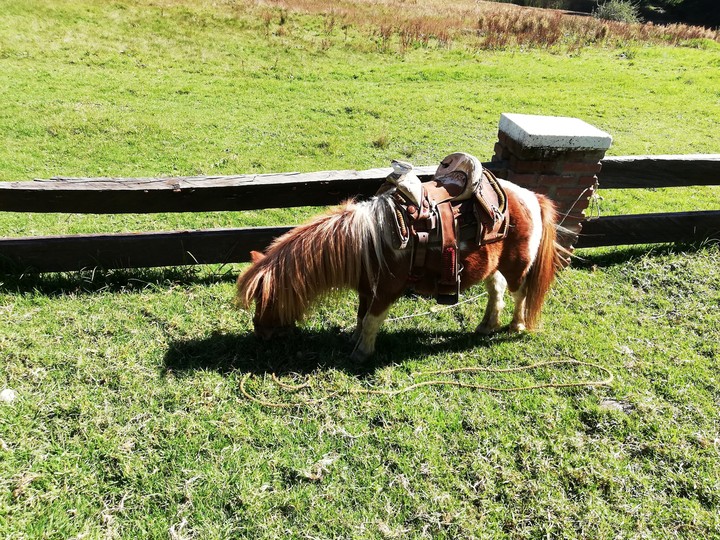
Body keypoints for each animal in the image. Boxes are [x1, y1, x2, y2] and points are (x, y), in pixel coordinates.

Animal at [235, 152, 563, 361]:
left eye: (266, 299)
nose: (260, 333)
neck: (367, 242)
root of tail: (531, 196)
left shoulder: (387, 290)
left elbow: (371, 319)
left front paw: (361, 354)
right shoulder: (367, 288)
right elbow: (361, 316)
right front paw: (356, 340)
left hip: (517, 264)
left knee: (519, 292)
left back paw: (516, 325)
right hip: (492, 264)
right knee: (496, 289)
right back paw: (487, 325)